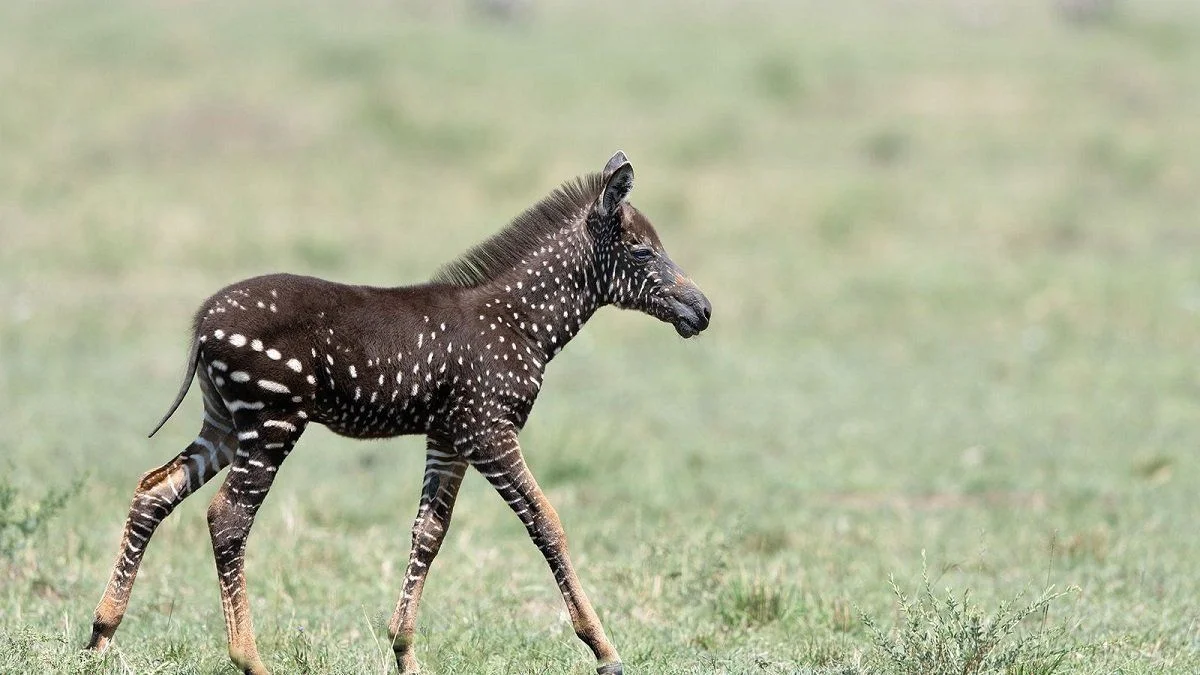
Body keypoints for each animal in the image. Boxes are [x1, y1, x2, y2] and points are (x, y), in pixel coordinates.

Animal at [85, 151, 712, 675]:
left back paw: (101, 636)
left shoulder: (450, 436)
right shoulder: (488, 430)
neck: (520, 323)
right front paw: (604, 650)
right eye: (643, 251)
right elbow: (547, 522)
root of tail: (202, 323)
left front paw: (405, 653)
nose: (702, 310)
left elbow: (428, 533)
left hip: (224, 424)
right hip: (271, 422)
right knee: (227, 518)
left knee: (153, 489)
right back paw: (249, 660)